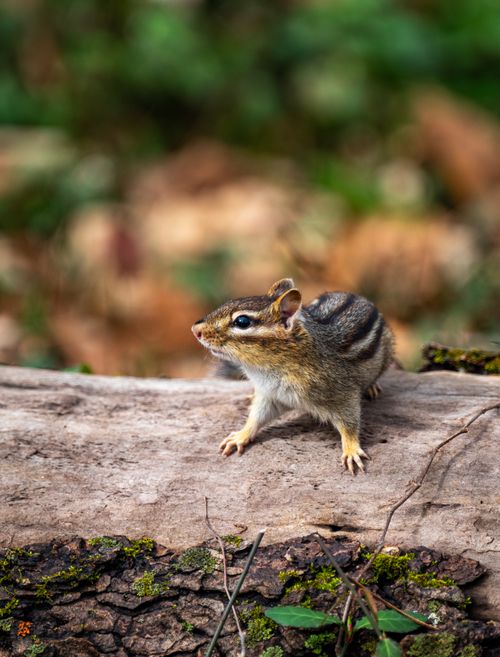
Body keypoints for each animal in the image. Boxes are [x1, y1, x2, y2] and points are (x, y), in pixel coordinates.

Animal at [192, 278, 394, 474]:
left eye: (242, 321)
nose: (195, 330)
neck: (268, 370)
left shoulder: (341, 393)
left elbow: (349, 422)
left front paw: (351, 450)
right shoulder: (271, 395)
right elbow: (257, 417)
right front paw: (241, 435)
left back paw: (373, 387)